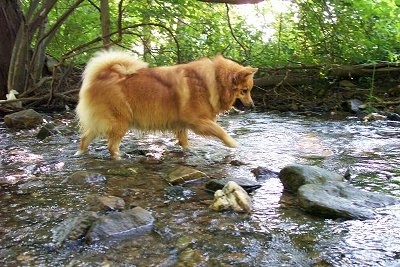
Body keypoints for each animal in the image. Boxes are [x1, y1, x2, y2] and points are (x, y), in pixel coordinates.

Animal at [75, 50, 256, 159]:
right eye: (244, 90)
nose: (252, 106)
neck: (216, 81)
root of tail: (101, 75)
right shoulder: (199, 122)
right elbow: (221, 132)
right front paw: (233, 144)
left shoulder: (182, 126)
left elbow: (185, 143)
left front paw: (190, 151)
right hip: (120, 123)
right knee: (111, 146)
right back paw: (118, 158)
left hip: (103, 123)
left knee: (85, 138)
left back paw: (79, 153)